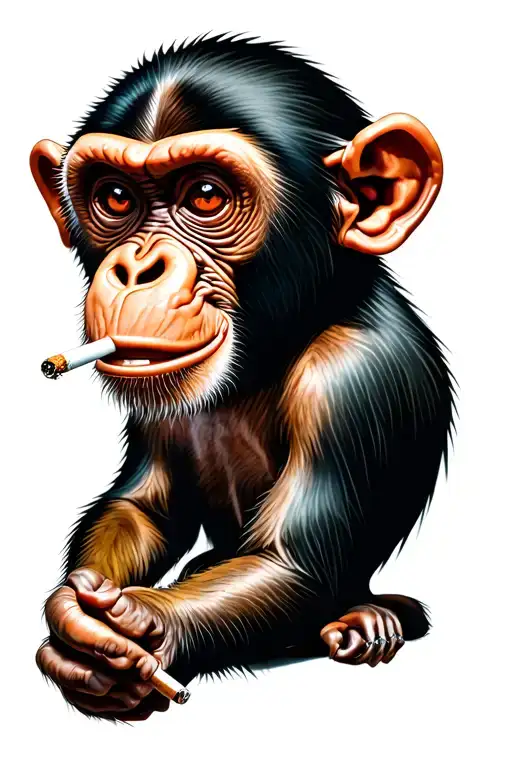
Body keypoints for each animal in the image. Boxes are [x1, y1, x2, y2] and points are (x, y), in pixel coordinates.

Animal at [31, 35, 454, 721]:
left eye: (205, 195)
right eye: (116, 198)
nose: (136, 268)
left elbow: (289, 564)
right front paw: (78, 617)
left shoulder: (353, 379)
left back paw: (369, 622)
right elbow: (145, 504)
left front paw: (144, 629)